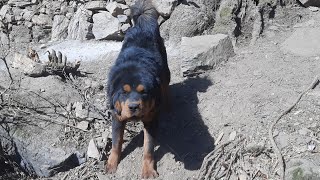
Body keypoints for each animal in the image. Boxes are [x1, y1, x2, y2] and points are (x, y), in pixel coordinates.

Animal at [105, 0, 170, 178]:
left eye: (144, 92)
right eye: (124, 92)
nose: (134, 106)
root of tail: (142, 25)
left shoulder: (151, 120)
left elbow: (148, 148)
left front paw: (148, 170)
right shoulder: (117, 117)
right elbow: (116, 143)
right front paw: (111, 164)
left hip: (166, 72)